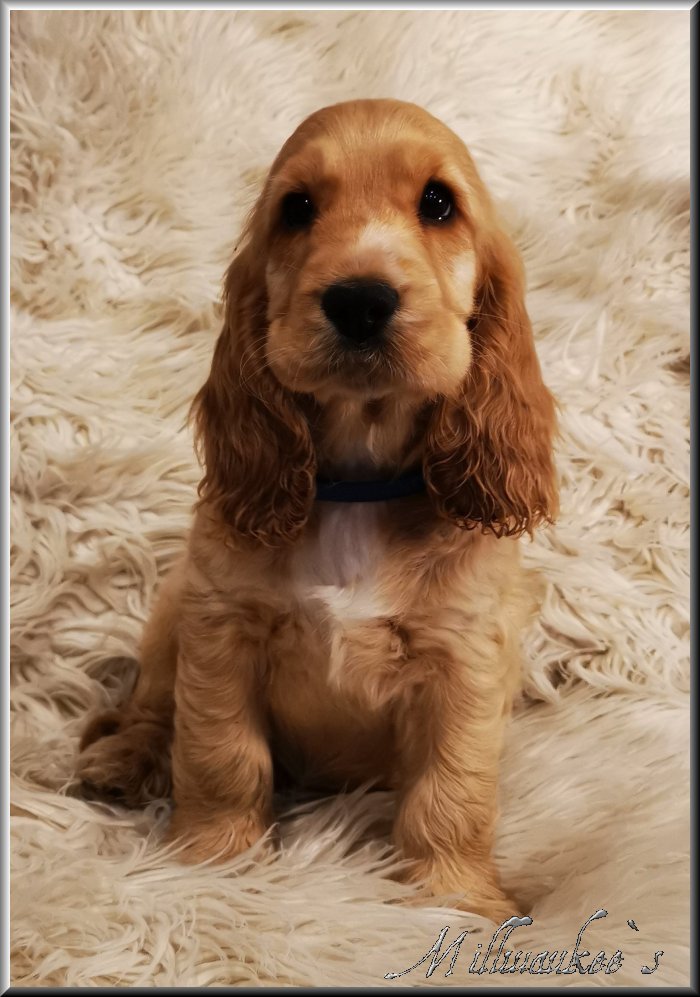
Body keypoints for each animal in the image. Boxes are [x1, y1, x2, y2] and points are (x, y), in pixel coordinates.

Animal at [77, 98, 558, 924]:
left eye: (439, 203)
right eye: (297, 208)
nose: (360, 299)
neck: (356, 481)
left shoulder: (464, 658)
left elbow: (451, 791)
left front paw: (457, 898)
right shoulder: (222, 631)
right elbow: (220, 756)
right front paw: (210, 863)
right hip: (171, 611)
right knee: (151, 707)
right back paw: (121, 758)